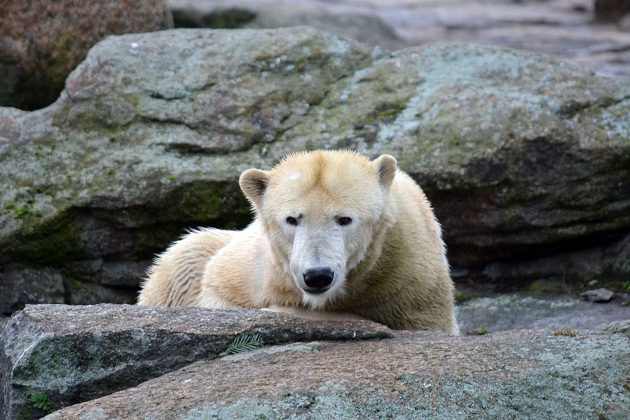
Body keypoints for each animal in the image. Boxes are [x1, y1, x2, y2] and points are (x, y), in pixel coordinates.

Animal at [139, 149, 460, 334]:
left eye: (344, 219)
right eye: (292, 219)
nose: (317, 275)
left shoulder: (409, 280)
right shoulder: (256, 270)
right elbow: (217, 295)